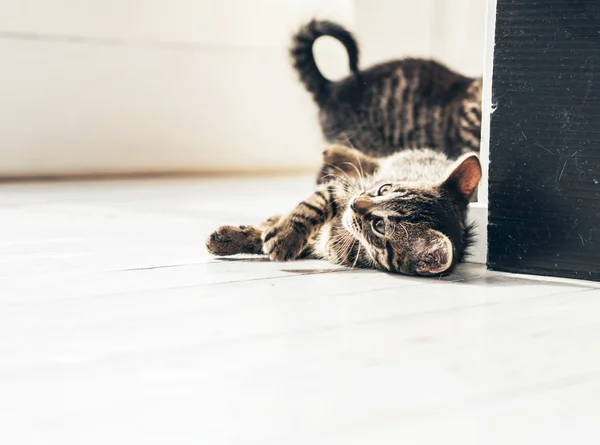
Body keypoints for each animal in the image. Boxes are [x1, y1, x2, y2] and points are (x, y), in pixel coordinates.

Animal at [209, 146, 480, 276]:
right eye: (384, 188)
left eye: (380, 226)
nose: (354, 204)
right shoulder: (344, 187)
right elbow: (314, 205)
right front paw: (281, 234)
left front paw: (274, 238)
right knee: (373, 160)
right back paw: (335, 150)